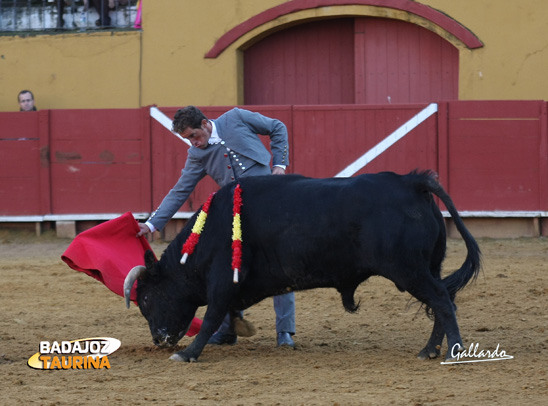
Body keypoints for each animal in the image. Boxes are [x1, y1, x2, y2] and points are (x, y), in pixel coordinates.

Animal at [123, 171, 480, 362]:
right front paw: (237, 328)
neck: (210, 230)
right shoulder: (233, 285)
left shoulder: (222, 280)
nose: (159, 340)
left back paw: (453, 351)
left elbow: (210, 316)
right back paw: (429, 350)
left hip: (409, 270)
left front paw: (188, 353)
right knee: (443, 300)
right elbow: (226, 312)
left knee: (442, 300)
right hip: (427, 268)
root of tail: (411, 181)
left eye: (146, 299)